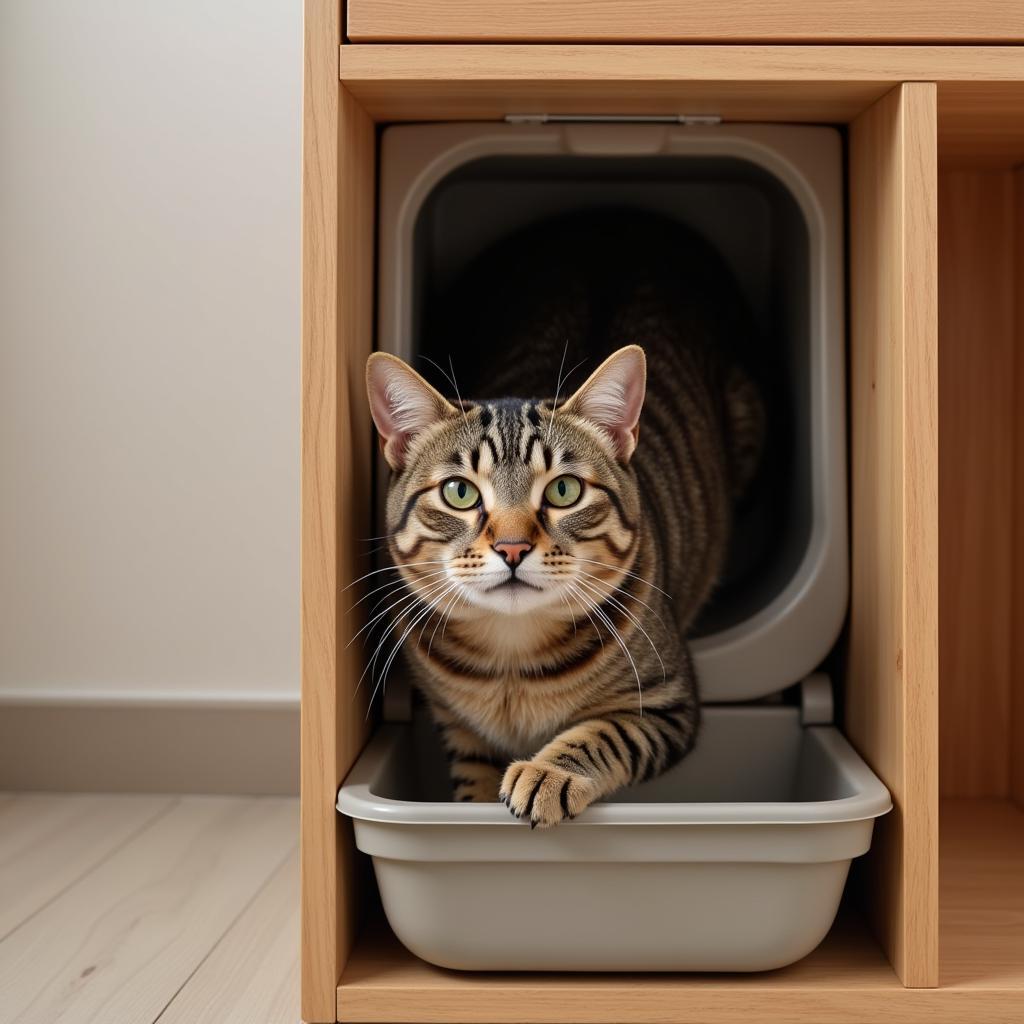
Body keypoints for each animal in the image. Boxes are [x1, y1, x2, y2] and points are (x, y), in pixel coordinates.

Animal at [364, 211, 765, 827]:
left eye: (564, 489)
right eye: (459, 492)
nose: (511, 548)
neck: (510, 661)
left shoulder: (667, 702)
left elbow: (601, 733)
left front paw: (547, 773)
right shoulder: (457, 726)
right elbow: (472, 780)